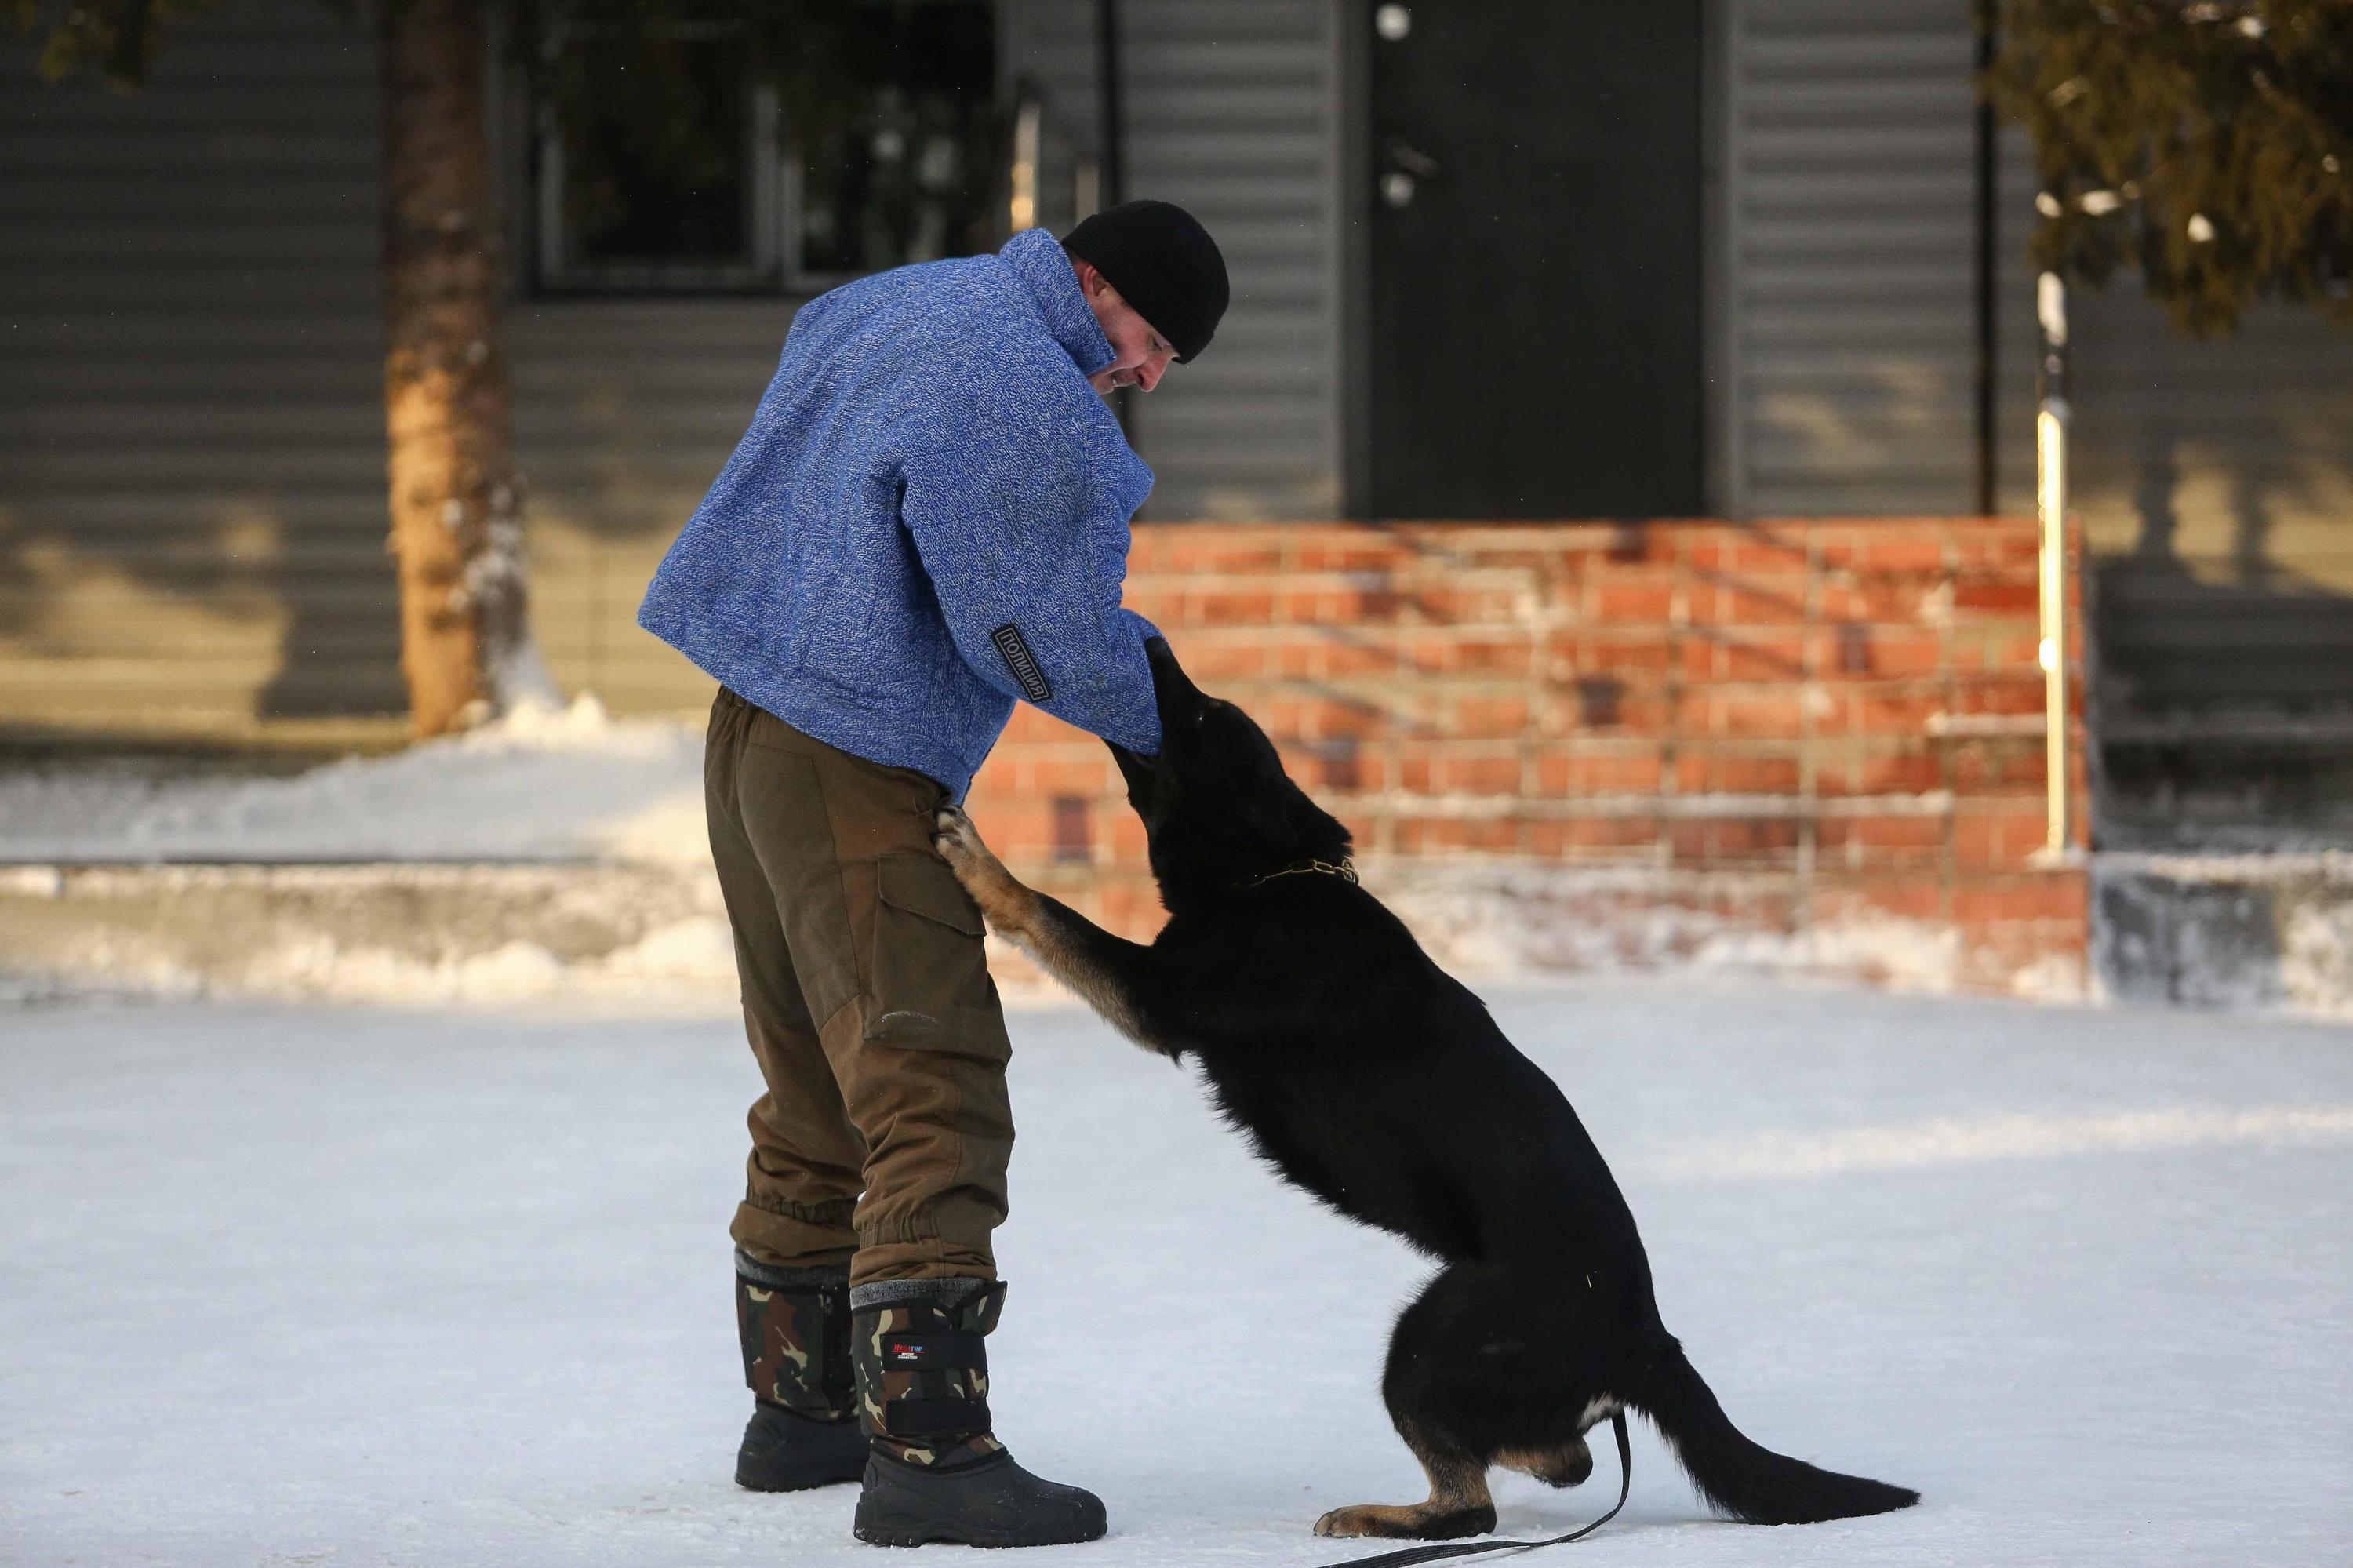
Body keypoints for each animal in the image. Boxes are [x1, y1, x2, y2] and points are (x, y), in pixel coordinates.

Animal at [927, 640, 1920, 1534]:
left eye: (1202, 716)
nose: (1149, 643)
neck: (1272, 874)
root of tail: (1646, 1334)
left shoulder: (1157, 999)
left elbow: (1052, 914)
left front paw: (980, 861)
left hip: (1426, 1338)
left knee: (1472, 1505)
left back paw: (1385, 1515)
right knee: (1563, 1455)